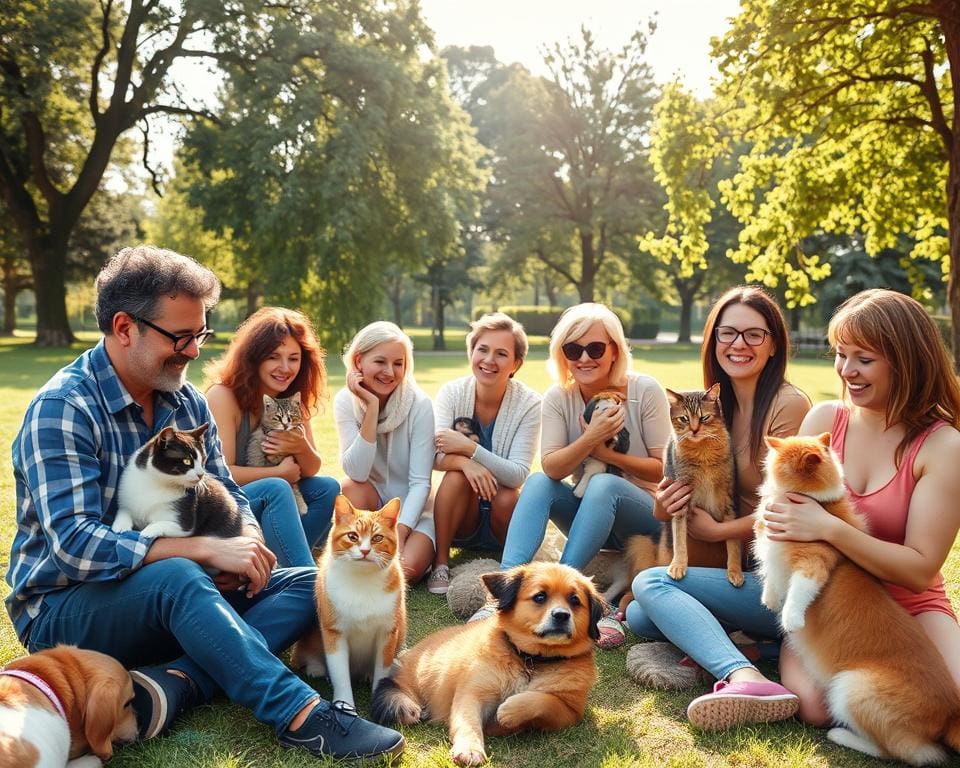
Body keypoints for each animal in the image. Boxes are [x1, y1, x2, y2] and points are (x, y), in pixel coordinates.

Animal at [111, 426, 244, 540]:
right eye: (186, 461)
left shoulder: (183, 519)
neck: (157, 482)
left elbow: (164, 524)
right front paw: (121, 525)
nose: (201, 474)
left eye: (203, 460)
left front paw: (147, 531)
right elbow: (124, 510)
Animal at [292, 496, 404, 712]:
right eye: (352, 536)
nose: (365, 551)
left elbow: (382, 670)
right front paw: (344, 705)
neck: (361, 580)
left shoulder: (388, 632)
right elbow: (340, 674)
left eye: (377, 538)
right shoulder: (334, 632)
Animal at [374, 560, 604, 764]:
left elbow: (544, 700)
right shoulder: (472, 693)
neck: (530, 661)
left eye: (575, 600)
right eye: (540, 597)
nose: (562, 615)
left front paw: (510, 711)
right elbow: (468, 723)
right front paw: (470, 749)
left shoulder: (570, 712)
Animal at [752, 436, 960, 764]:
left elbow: (801, 588)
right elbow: (772, 576)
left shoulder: (815, 560)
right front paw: (770, 600)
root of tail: (950, 714)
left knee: (901, 752)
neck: (817, 502)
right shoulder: (773, 555)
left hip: (852, 688)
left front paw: (790, 618)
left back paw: (840, 735)